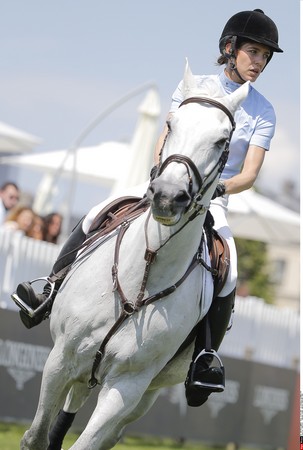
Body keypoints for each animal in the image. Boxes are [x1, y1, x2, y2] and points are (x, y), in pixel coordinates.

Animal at [20, 62, 249, 450]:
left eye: (222, 140)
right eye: (171, 123)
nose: (168, 196)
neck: (145, 269)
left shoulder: (127, 387)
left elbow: (88, 443)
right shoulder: (60, 359)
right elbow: (35, 437)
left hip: (143, 392)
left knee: (107, 432)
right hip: (85, 366)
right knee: (69, 408)